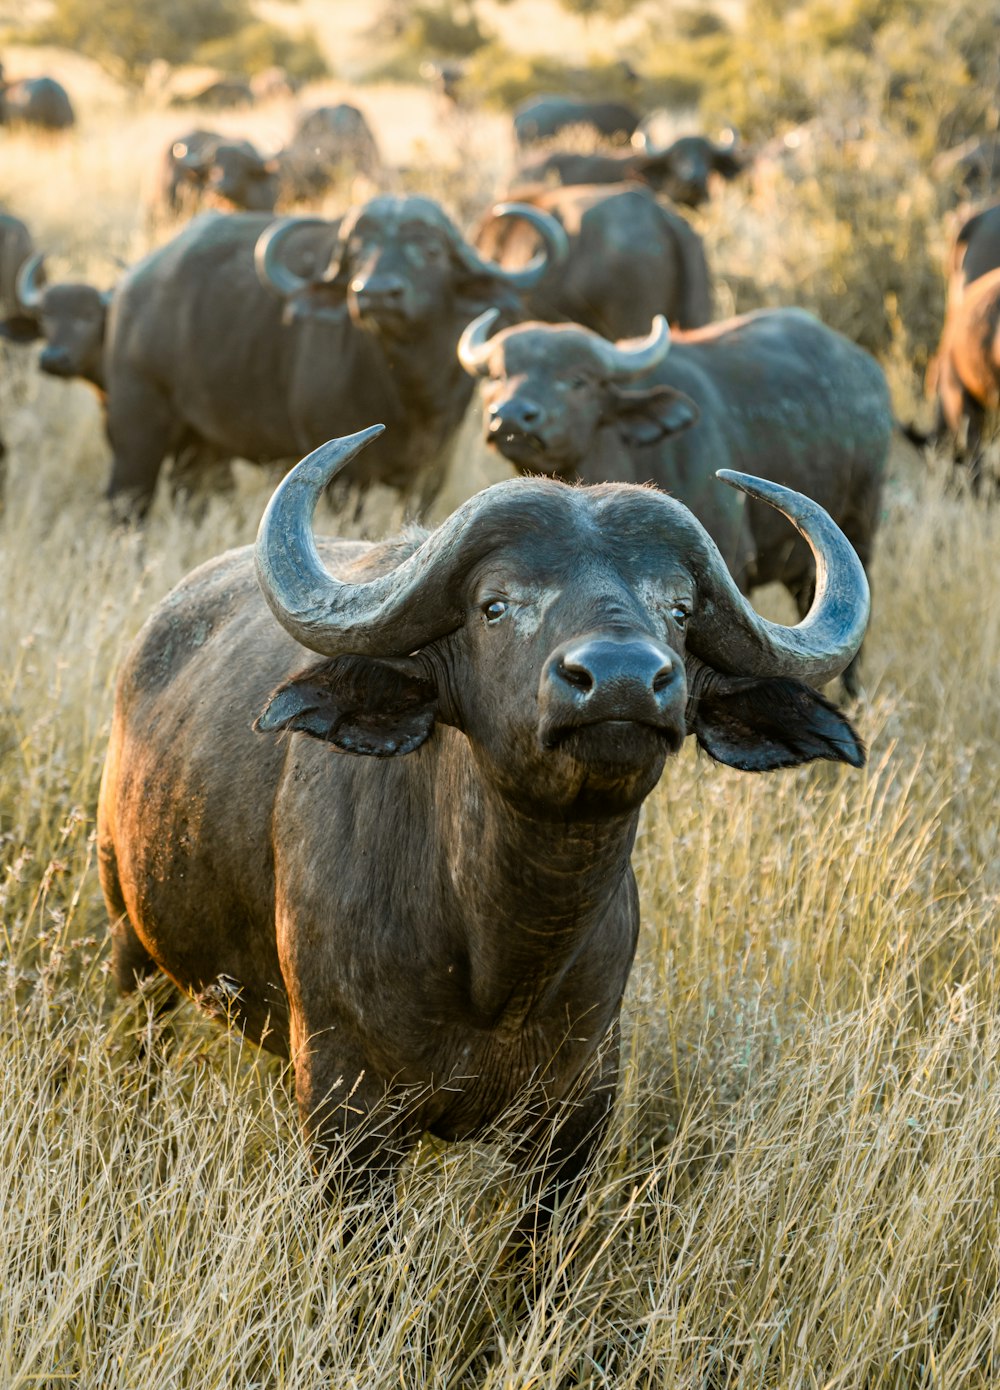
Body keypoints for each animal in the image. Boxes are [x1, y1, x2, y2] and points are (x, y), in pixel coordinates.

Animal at [98, 422, 873, 1228]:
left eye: (682, 609)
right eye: (495, 605)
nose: (623, 678)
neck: (504, 956)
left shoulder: (576, 1114)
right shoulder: (349, 1114)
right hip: (130, 938)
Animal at [102, 197, 570, 517]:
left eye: (430, 251)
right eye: (359, 251)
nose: (375, 293)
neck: (409, 393)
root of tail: (131, 286)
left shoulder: (434, 469)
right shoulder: (345, 480)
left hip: (202, 445)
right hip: (136, 428)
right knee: (128, 501)